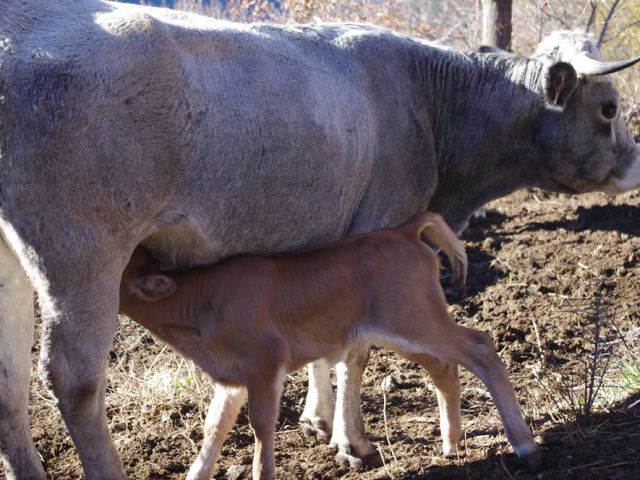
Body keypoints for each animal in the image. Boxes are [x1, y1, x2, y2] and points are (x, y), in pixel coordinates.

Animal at [119, 212, 540, 478]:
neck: (202, 299)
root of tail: (401, 230)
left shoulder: (264, 361)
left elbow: (261, 425)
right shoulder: (231, 377)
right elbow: (214, 427)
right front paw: (196, 474)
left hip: (416, 321)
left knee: (481, 346)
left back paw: (524, 445)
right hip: (402, 329)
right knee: (444, 367)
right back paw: (451, 445)